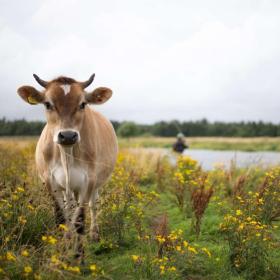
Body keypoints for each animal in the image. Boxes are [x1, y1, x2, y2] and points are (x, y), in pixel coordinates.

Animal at [17, 74, 118, 247]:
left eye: (82, 104)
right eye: (47, 104)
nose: (68, 135)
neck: (67, 156)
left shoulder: (89, 180)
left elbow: (80, 219)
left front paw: (78, 249)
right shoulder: (50, 181)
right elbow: (61, 217)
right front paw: (64, 243)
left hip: (97, 183)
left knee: (93, 205)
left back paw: (94, 234)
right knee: (69, 206)